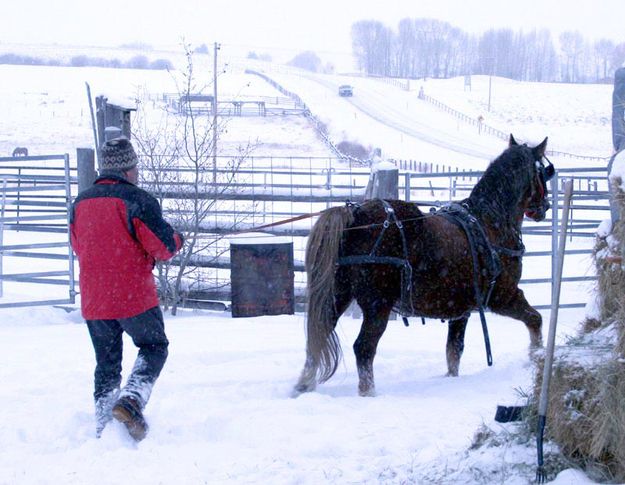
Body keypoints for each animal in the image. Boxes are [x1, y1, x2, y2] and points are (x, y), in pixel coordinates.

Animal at [292, 134, 552, 396]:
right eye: (544, 172)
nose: (545, 207)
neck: (489, 222)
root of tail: (355, 216)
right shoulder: (503, 296)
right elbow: (535, 319)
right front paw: (537, 357)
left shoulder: (462, 309)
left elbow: (454, 350)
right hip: (378, 305)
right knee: (364, 348)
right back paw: (368, 393)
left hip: (338, 296)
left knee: (318, 336)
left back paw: (304, 385)